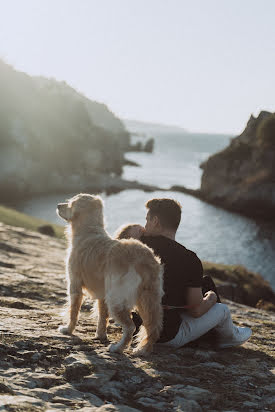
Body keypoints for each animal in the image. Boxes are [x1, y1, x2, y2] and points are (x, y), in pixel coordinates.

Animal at [56, 193, 164, 354]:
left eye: (70, 203)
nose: (58, 205)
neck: (89, 230)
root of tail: (143, 260)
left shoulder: (75, 284)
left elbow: (73, 311)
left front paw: (68, 330)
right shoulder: (102, 294)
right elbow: (102, 316)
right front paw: (100, 335)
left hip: (116, 298)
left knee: (130, 327)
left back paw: (118, 348)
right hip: (149, 298)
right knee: (153, 327)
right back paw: (142, 350)